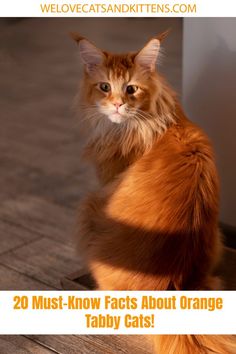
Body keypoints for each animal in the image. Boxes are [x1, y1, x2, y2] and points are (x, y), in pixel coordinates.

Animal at [72, 31, 236, 352]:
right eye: (104, 87)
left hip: (87, 208)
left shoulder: (104, 183)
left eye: (131, 89)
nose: (117, 105)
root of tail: (173, 283)